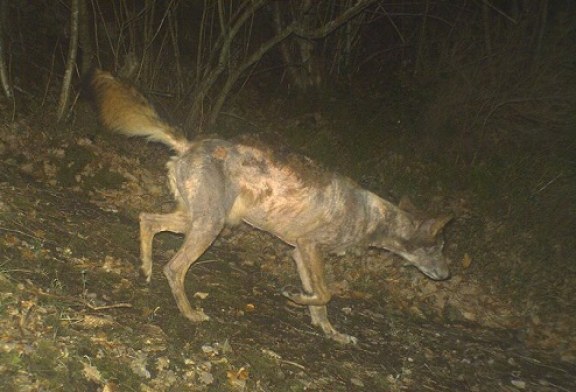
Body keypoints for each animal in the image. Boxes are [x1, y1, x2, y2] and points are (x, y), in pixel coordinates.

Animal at [90, 69, 452, 344]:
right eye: (439, 249)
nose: (448, 275)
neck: (372, 216)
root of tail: (191, 143)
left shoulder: (300, 253)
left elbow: (321, 303)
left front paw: (329, 331)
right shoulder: (310, 247)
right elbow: (326, 294)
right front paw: (296, 297)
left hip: (195, 218)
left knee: (147, 219)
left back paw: (146, 268)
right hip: (209, 226)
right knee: (175, 267)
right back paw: (189, 313)